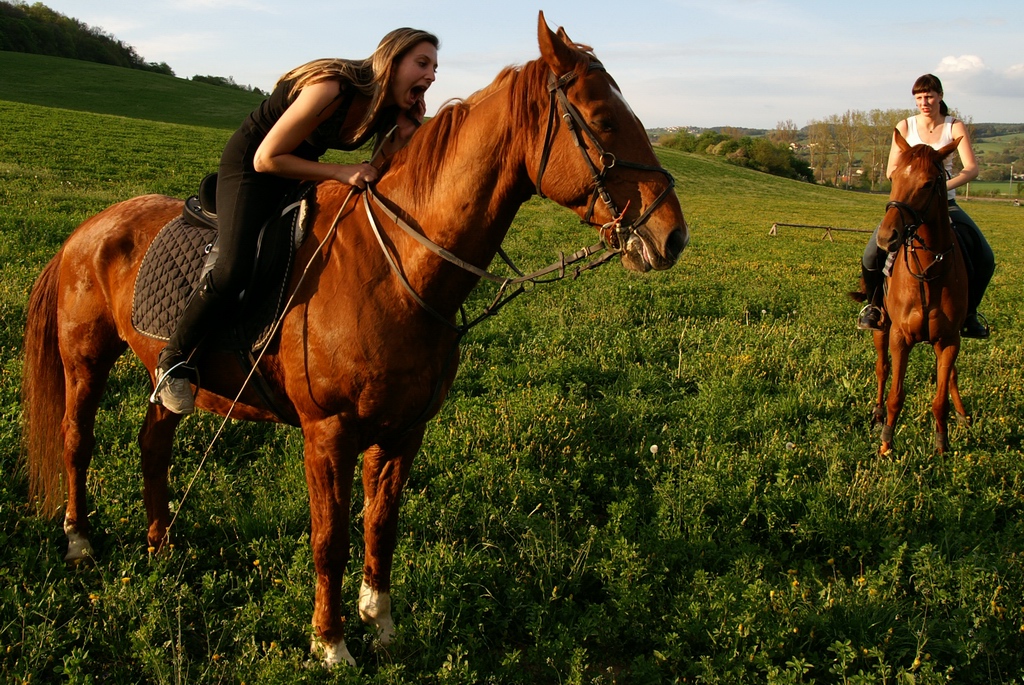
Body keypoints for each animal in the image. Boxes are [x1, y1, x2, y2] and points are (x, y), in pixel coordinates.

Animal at [20, 12, 687, 667]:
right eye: (604, 120)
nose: (673, 236)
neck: (396, 270)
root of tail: (90, 228)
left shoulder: (403, 431)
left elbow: (381, 527)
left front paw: (381, 623)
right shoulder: (328, 433)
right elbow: (330, 537)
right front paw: (330, 641)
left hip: (169, 376)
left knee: (153, 443)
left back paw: (162, 545)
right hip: (86, 359)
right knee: (77, 439)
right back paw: (78, 539)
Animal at [863, 129, 968, 455]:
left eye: (928, 183)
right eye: (894, 176)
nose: (887, 237)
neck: (928, 270)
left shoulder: (949, 340)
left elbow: (940, 398)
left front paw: (942, 445)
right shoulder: (900, 337)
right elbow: (896, 394)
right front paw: (886, 444)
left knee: (952, 376)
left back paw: (963, 416)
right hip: (880, 326)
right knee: (882, 368)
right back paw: (877, 415)